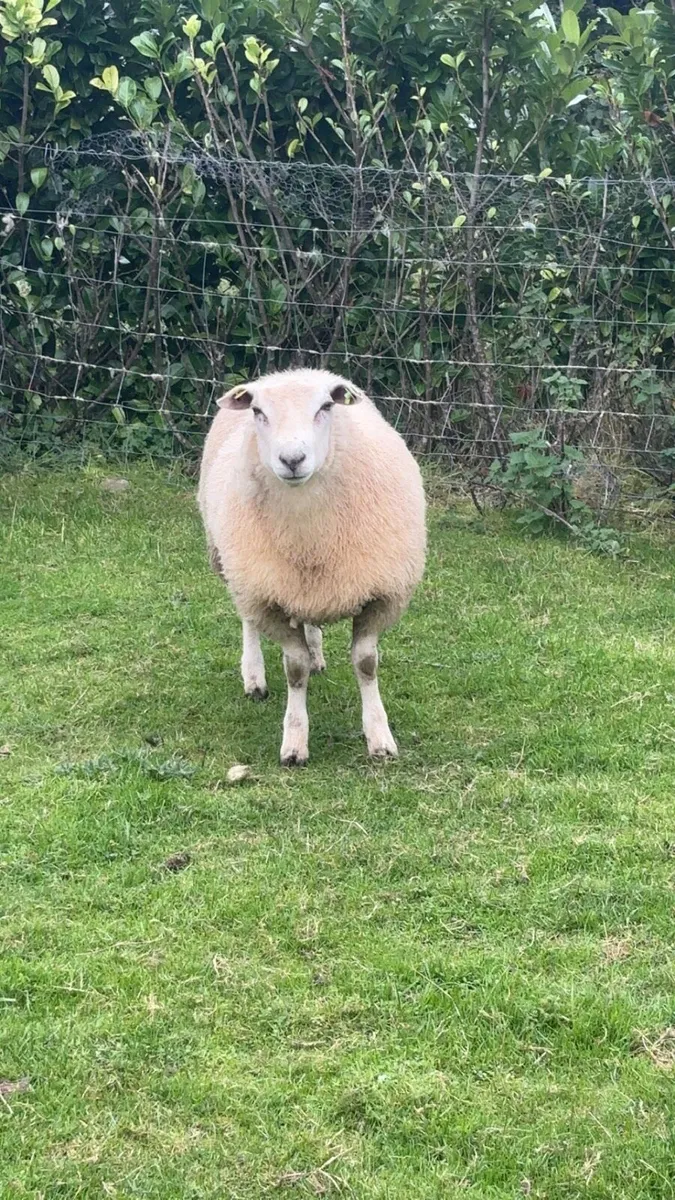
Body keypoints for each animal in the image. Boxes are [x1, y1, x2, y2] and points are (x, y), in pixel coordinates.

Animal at [198, 367, 426, 765]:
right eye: (258, 412)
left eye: (325, 407)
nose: (292, 459)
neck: (311, 536)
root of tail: (292, 371)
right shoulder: (267, 597)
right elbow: (295, 669)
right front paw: (294, 742)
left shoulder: (381, 594)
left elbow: (366, 663)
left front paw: (380, 738)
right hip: (239, 568)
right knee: (248, 621)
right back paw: (254, 677)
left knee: (309, 622)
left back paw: (317, 654)